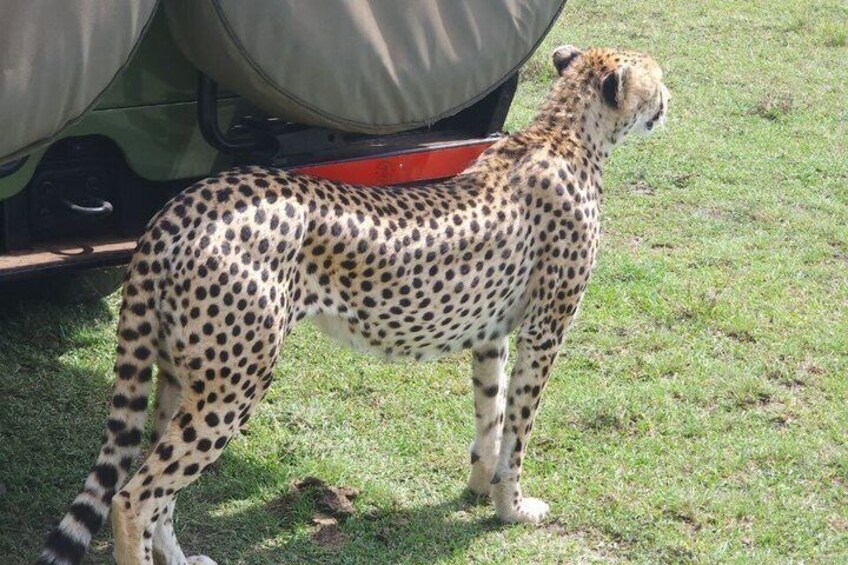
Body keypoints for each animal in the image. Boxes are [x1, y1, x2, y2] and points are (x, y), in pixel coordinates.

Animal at [39, 45, 669, 564]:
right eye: (657, 78)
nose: (671, 98)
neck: (565, 131)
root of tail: (184, 205)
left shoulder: (492, 335)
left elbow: (489, 415)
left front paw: (479, 488)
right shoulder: (544, 331)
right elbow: (519, 429)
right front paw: (512, 508)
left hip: (183, 373)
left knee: (157, 488)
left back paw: (180, 558)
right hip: (235, 383)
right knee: (133, 496)